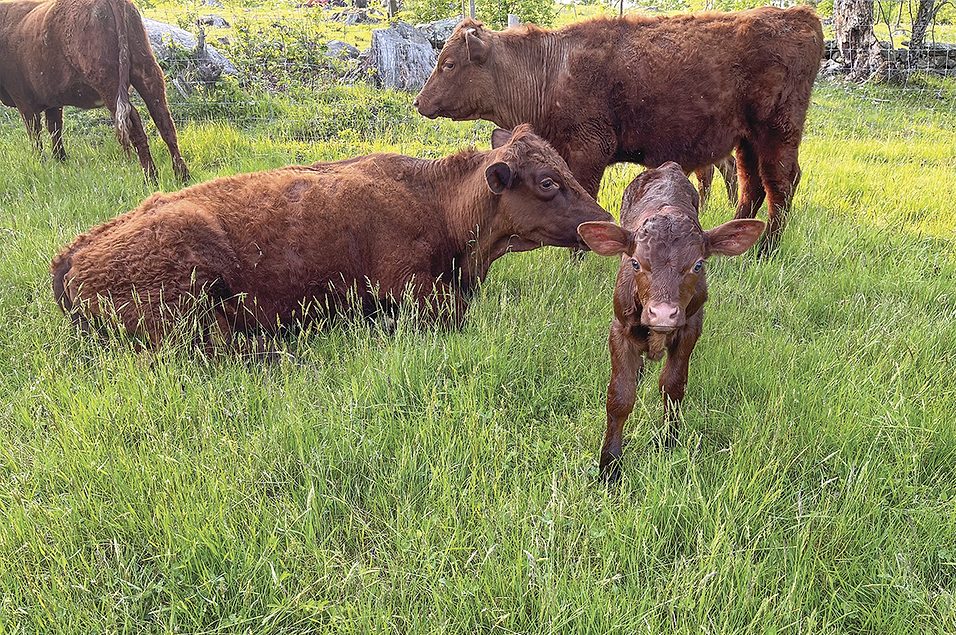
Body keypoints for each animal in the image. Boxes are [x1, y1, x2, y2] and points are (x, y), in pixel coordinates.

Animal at [0, 0, 189, 183]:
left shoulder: (24, 102)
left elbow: (35, 134)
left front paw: (40, 162)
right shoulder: (52, 101)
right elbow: (55, 129)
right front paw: (61, 160)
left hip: (109, 83)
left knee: (134, 123)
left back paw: (150, 178)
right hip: (147, 71)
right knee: (164, 121)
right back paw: (182, 176)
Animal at [414, 7, 823, 255]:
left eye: (448, 64)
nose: (419, 102)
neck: (549, 69)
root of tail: (800, 16)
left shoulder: (589, 150)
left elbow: (586, 202)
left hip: (776, 134)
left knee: (780, 185)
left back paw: (766, 249)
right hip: (746, 142)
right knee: (753, 185)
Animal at [576, 162, 764, 483]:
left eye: (698, 265)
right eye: (635, 263)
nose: (663, 314)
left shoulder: (691, 326)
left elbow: (673, 386)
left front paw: (668, 441)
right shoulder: (619, 328)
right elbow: (620, 396)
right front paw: (610, 466)